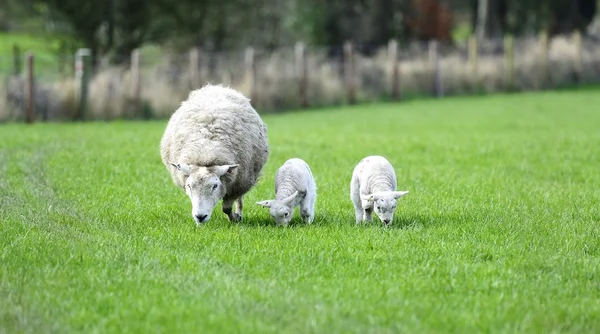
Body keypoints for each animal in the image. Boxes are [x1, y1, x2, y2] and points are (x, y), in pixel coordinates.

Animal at [162, 83, 270, 224]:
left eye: (215, 186)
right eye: (189, 186)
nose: (200, 216)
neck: (205, 151)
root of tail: (217, 87)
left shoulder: (237, 183)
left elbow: (226, 208)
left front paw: (235, 218)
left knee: (240, 200)